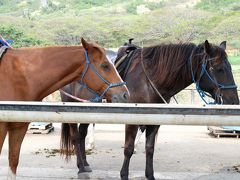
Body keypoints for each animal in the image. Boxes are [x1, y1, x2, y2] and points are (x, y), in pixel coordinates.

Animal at [59, 39, 238, 179]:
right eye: (219, 69)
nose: (234, 101)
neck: (149, 79)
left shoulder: (154, 120)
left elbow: (150, 149)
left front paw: (150, 175)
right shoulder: (132, 120)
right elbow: (128, 149)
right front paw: (124, 175)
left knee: (82, 135)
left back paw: (85, 164)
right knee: (75, 137)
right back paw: (80, 167)